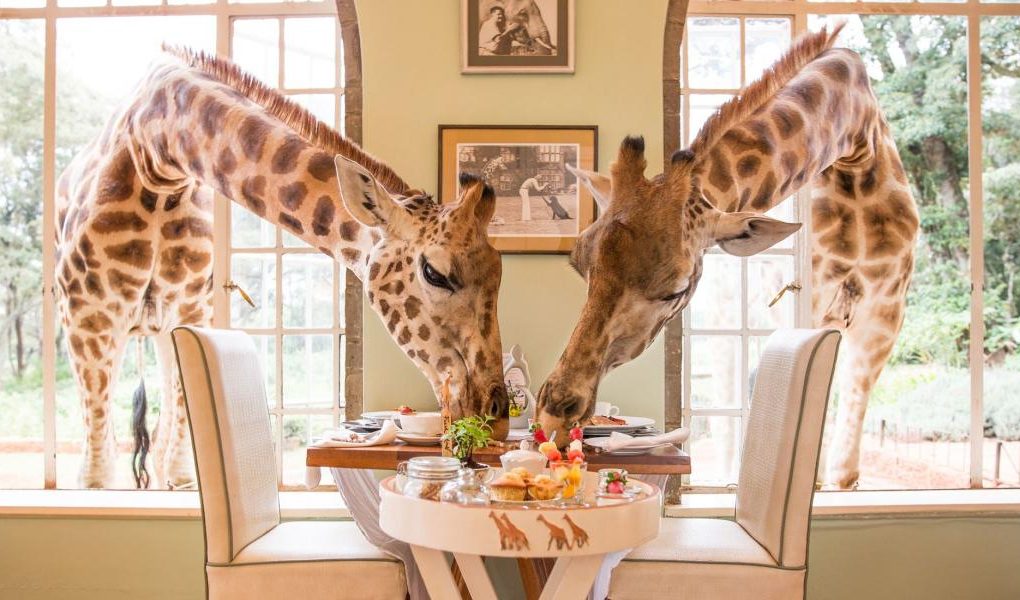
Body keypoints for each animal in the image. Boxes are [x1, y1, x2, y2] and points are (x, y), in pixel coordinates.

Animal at [56, 47, 509, 489]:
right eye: (435, 273)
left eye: (499, 275)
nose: (498, 416)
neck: (157, 153)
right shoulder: (87, 319)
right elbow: (95, 478)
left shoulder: (189, 312)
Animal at [536, 24, 918, 489]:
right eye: (580, 266)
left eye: (676, 289)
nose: (553, 415)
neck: (855, 144)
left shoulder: (883, 314)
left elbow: (844, 463)